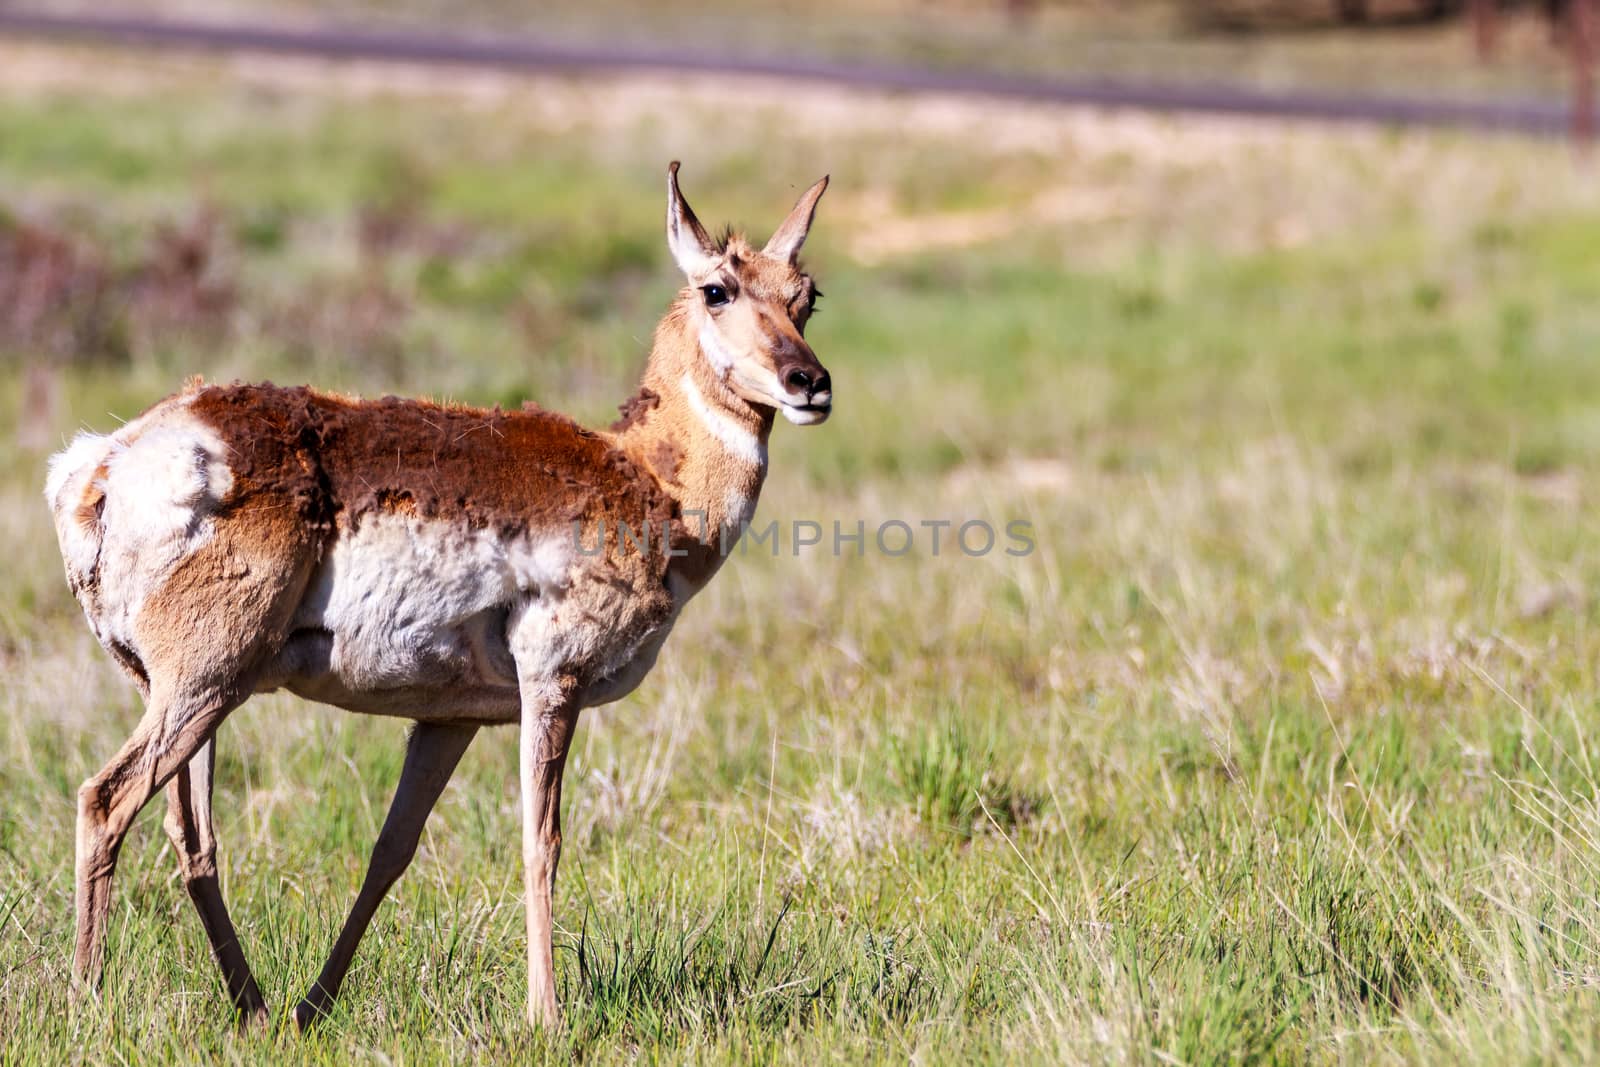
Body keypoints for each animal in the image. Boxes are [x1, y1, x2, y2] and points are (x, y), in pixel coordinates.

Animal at [43, 163, 832, 1030]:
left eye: (807, 295)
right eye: (719, 288)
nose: (811, 383)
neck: (649, 478)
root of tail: (106, 460)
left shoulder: (450, 717)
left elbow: (392, 850)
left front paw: (316, 1006)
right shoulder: (552, 683)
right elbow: (541, 841)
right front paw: (546, 1017)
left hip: (198, 691)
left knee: (192, 837)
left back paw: (254, 1006)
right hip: (205, 679)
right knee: (105, 799)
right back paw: (85, 1002)